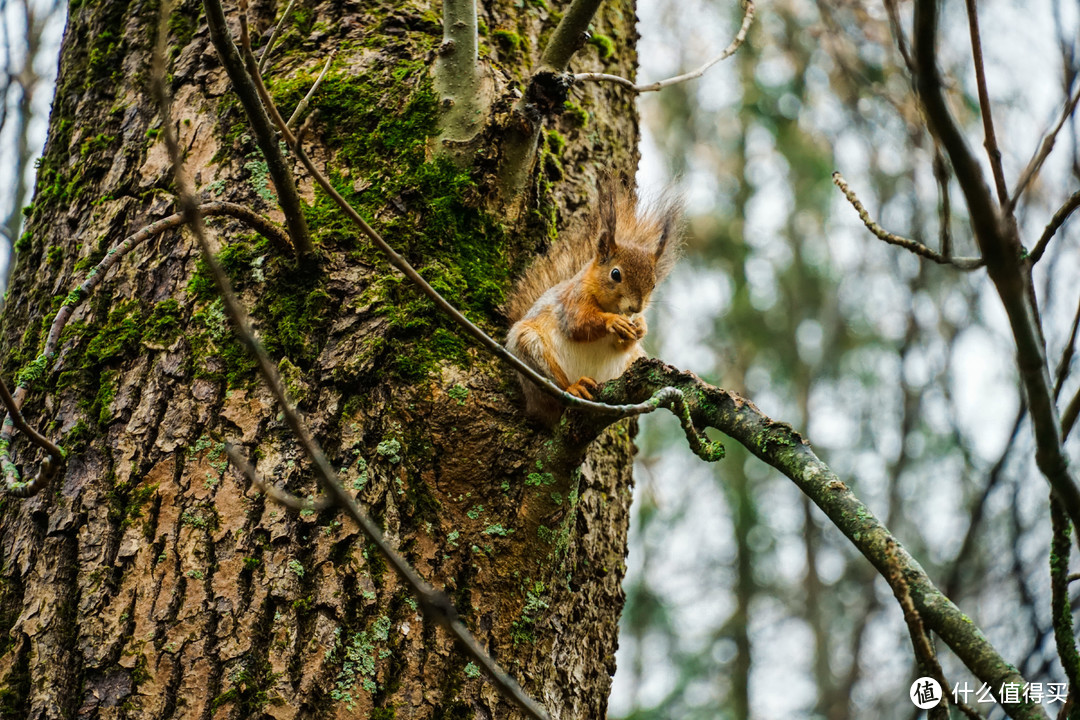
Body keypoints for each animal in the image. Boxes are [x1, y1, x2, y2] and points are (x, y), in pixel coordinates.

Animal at [507, 183, 678, 425]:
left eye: (653, 284)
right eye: (615, 274)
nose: (635, 308)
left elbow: (623, 343)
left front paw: (640, 328)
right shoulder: (571, 300)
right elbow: (578, 324)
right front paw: (614, 322)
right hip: (530, 351)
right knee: (556, 385)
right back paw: (574, 387)